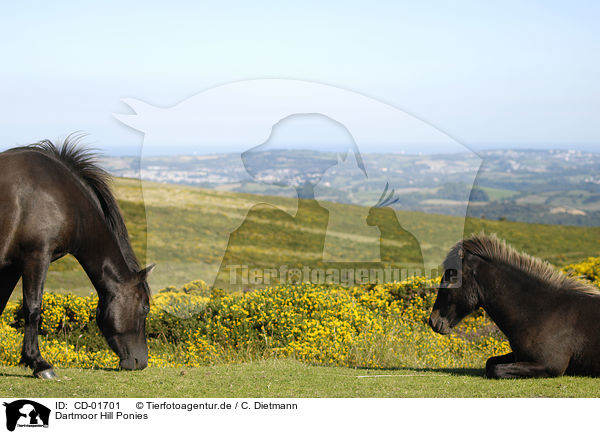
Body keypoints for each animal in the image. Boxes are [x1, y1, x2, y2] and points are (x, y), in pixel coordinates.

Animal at [0, 137, 154, 378]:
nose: (141, 362)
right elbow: (33, 308)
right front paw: (39, 364)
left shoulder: (12, 266)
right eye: (145, 308)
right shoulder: (36, 256)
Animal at [428, 232, 600, 378]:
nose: (433, 321)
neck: (542, 311)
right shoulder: (519, 355)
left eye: (451, 279)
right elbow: (490, 361)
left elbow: (495, 369)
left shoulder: (549, 365)